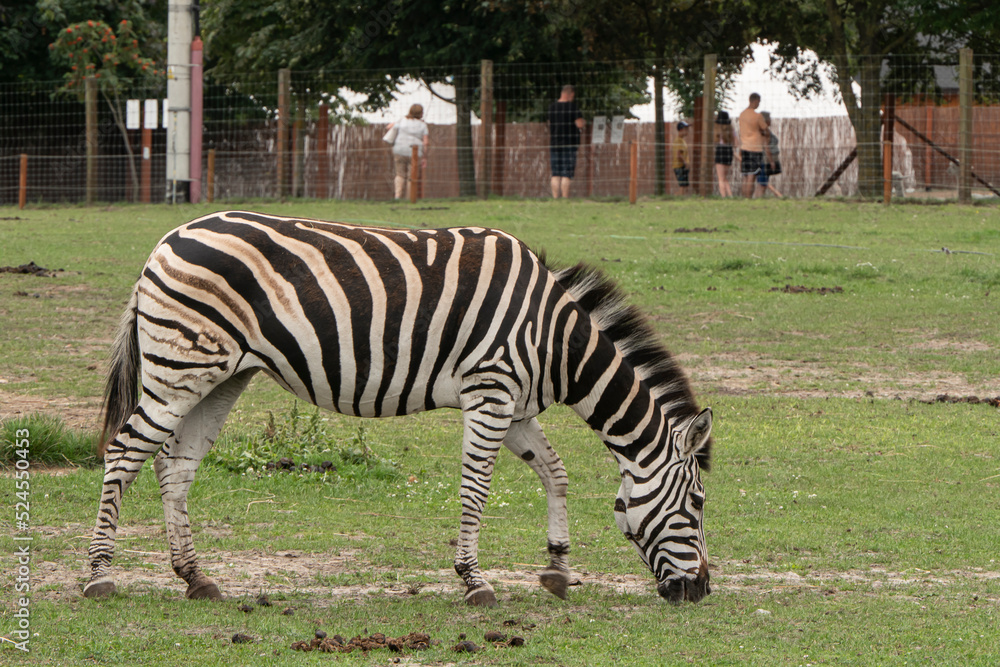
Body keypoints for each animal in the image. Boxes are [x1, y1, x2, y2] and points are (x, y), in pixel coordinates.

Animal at [84, 210, 712, 606]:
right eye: (698, 504)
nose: (700, 592)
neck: (554, 338)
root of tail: (166, 240)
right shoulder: (490, 392)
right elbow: (475, 490)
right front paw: (474, 582)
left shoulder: (514, 405)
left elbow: (555, 473)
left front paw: (557, 571)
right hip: (179, 368)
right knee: (124, 452)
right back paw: (98, 577)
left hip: (220, 376)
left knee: (176, 465)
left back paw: (196, 579)